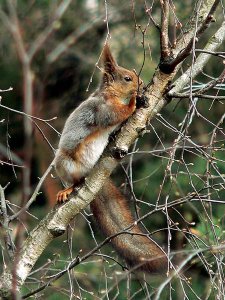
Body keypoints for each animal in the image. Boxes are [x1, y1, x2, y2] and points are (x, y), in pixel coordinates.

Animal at [54, 45, 167, 274]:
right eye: (127, 78)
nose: (141, 84)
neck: (110, 94)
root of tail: (90, 173)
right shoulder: (104, 110)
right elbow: (119, 113)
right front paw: (135, 101)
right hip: (63, 162)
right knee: (74, 181)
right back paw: (67, 189)